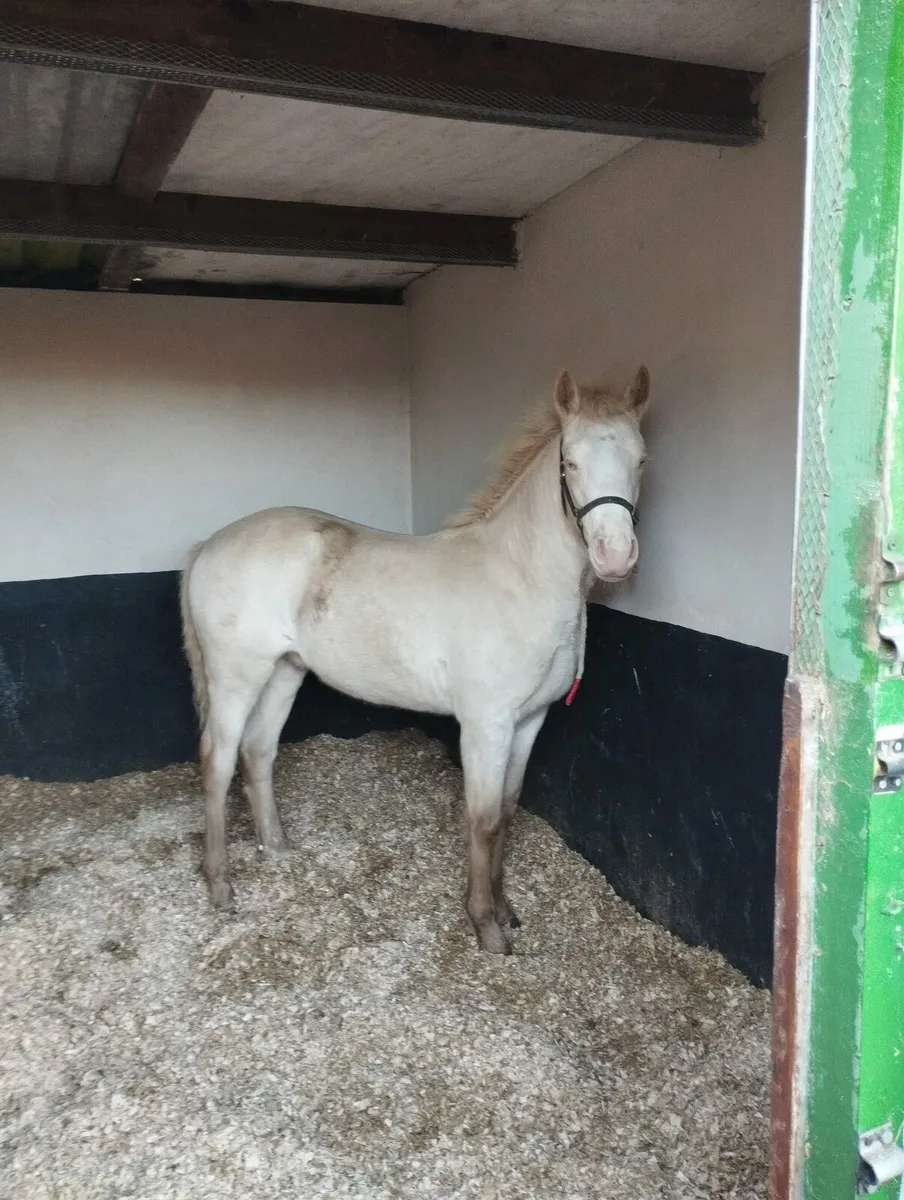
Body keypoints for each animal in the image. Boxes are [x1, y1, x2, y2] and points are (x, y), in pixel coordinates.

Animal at [179, 366, 650, 954]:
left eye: (641, 459)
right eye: (570, 461)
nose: (615, 557)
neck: (520, 577)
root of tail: (210, 545)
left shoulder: (529, 721)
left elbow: (508, 812)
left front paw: (505, 910)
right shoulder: (486, 725)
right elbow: (483, 819)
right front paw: (486, 928)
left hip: (285, 671)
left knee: (258, 752)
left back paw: (279, 850)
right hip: (236, 676)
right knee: (217, 763)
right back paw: (221, 885)